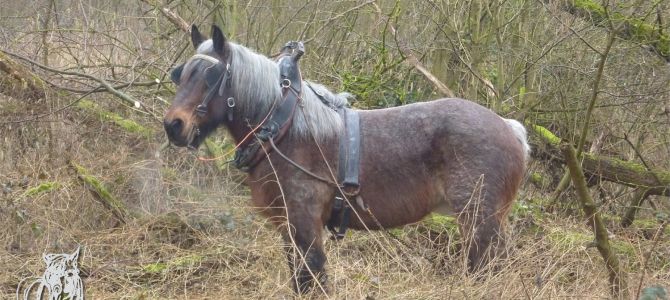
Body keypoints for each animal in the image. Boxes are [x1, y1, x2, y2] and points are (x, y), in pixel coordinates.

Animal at [163, 25, 532, 292]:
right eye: (181, 74)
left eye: (210, 76)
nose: (173, 125)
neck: (285, 130)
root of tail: (509, 128)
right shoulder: (289, 230)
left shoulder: (305, 224)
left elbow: (313, 282)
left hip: (479, 222)